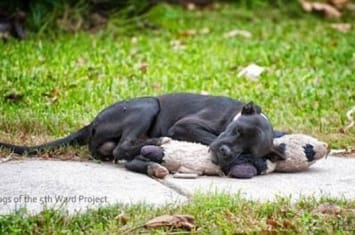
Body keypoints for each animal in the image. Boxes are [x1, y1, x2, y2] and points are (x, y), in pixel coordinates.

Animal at [0, 92, 284, 171]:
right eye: (235, 131)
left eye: (248, 150)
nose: (225, 153)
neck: (232, 116)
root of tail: (92, 123)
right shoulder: (185, 125)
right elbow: (209, 137)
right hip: (147, 104)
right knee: (122, 147)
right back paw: (158, 141)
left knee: (117, 150)